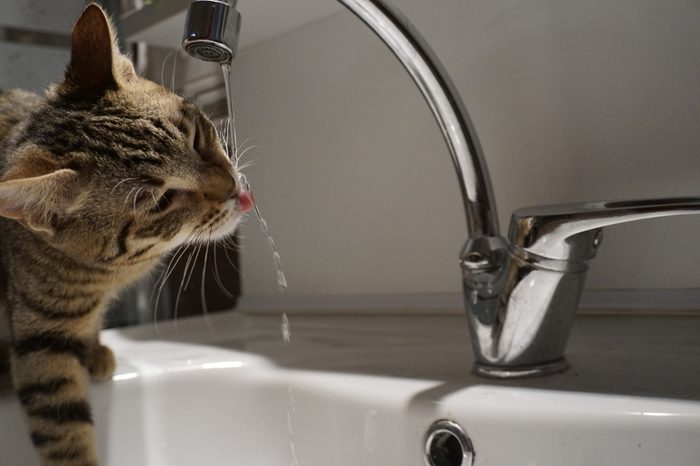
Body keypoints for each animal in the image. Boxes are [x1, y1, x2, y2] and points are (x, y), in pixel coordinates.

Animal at [0, 4, 252, 466]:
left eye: (196, 136)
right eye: (161, 200)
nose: (232, 189)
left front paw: (94, 348)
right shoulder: (40, 335)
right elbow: (63, 426)